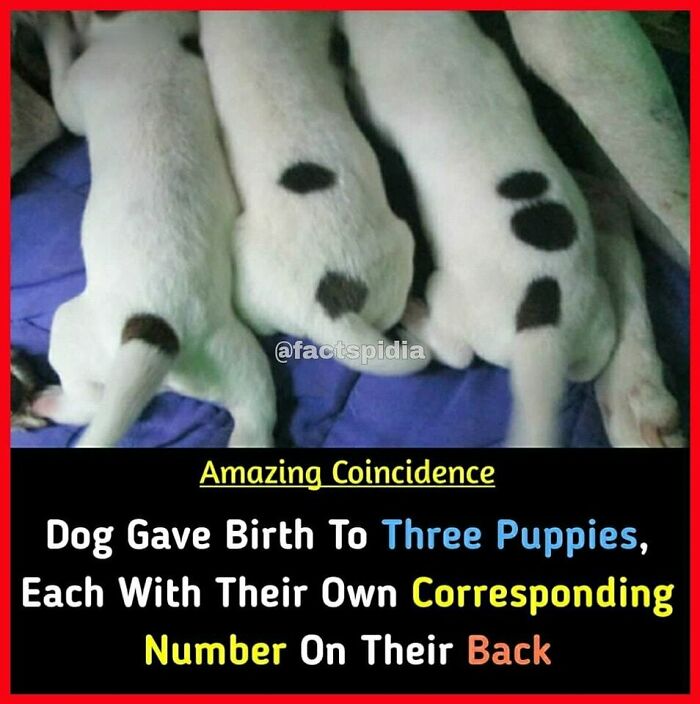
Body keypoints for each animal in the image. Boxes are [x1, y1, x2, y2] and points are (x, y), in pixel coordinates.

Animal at [32, 12, 274, 446]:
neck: (151, 29)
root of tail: (162, 331)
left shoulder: (75, 90)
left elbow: (61, 83)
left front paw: (51, 24)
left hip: (71, 329)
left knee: (89, 402)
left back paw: (51, 402)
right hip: (238, 359)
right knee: (256, 415)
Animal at [342, 12, 616, 446]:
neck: (425, 28)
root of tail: (544, 331)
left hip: (450, 295)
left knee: (455, 353)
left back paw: (417, 317)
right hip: (597, 321)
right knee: (590, 363)